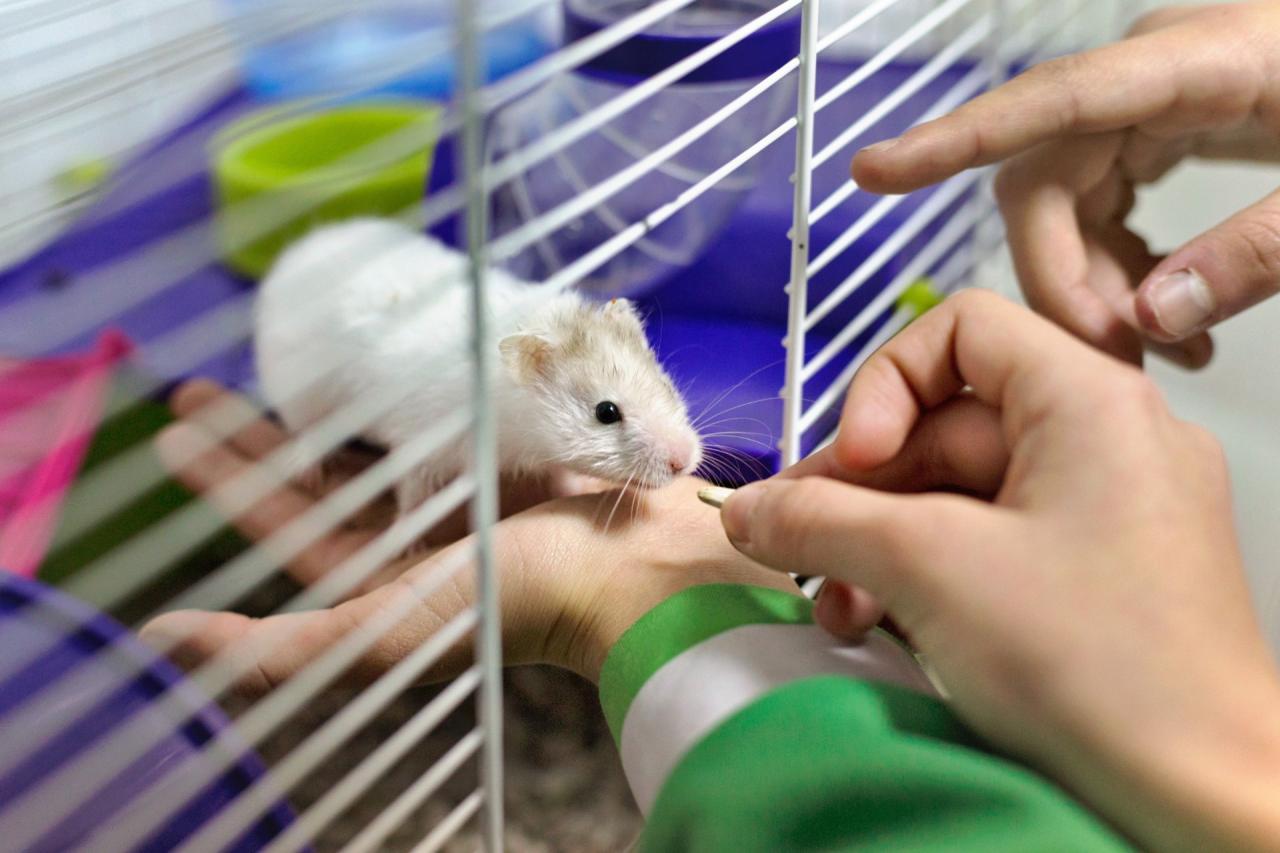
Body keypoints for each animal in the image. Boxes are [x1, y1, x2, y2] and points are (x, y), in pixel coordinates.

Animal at [254, 218, 702, 515]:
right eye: (606, 412)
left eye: (666, 384)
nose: (685, 462)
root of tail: (291, 257)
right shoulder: (421, 446)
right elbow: (411, 498)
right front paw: (408, 544)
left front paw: (574, 485)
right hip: (301, 396)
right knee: (308, 433)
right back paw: (307, 470)